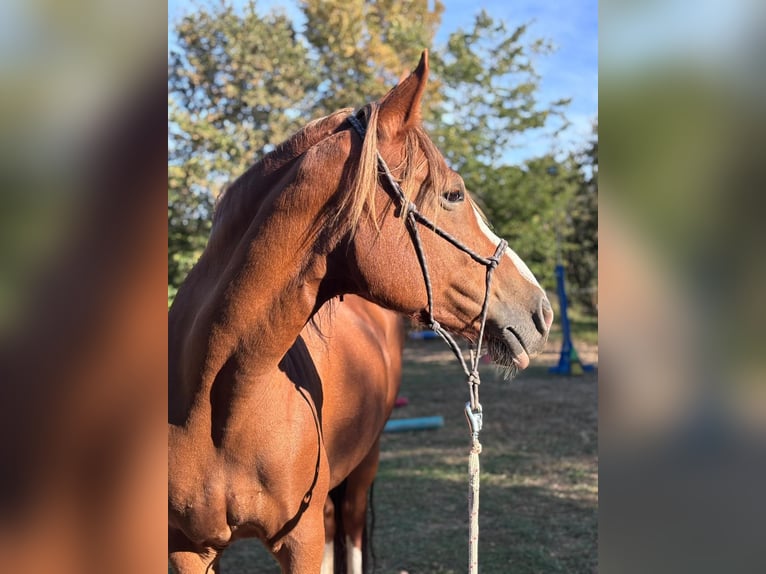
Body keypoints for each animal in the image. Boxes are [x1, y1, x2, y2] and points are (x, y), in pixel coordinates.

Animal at [168, 49, 553, 573]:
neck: (219, 404)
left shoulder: (301, 540)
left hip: (365, 463)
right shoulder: (189, 549)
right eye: (453, 195)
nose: (542, 312)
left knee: (348, 528)